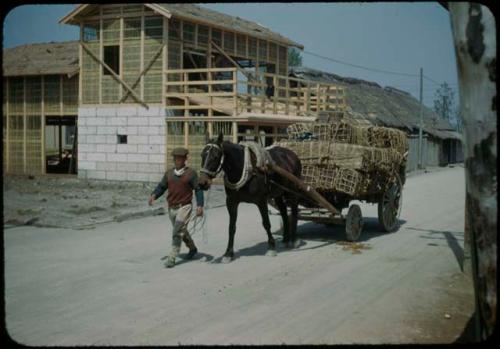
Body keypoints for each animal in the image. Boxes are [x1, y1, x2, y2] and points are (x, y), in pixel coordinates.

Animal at [198, 132, 300, 262]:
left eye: (215, 156)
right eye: (202, 155)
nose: (202, 183)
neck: (244, 168)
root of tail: (292, 154)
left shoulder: (261, 201)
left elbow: (266, 223)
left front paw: (271, 247)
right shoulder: (231, 202)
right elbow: (231, 227)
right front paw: (228, 253)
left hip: (292, 191)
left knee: (294, 211)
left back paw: (294, 239)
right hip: (279, 193)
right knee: (284, 212)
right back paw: (286, 239)